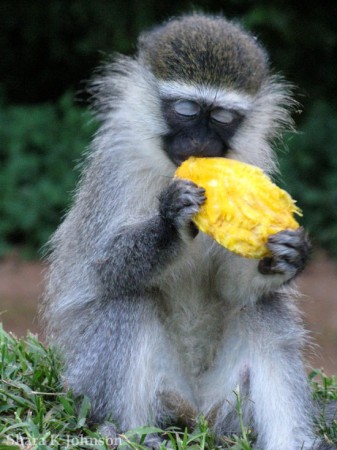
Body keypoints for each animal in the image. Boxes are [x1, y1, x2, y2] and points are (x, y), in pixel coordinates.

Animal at [42, 14, 334, 450]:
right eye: (186, 109)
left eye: (224, 117)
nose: (200, 142)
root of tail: (194, 412)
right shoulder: (116, 167)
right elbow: (102, 267)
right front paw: (171, 223)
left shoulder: (253, 162)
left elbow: (232, 288)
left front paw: (288, 256)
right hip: (99, 381)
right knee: (129, 300)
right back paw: (129, 433)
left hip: (228, 407)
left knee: (262, 311)